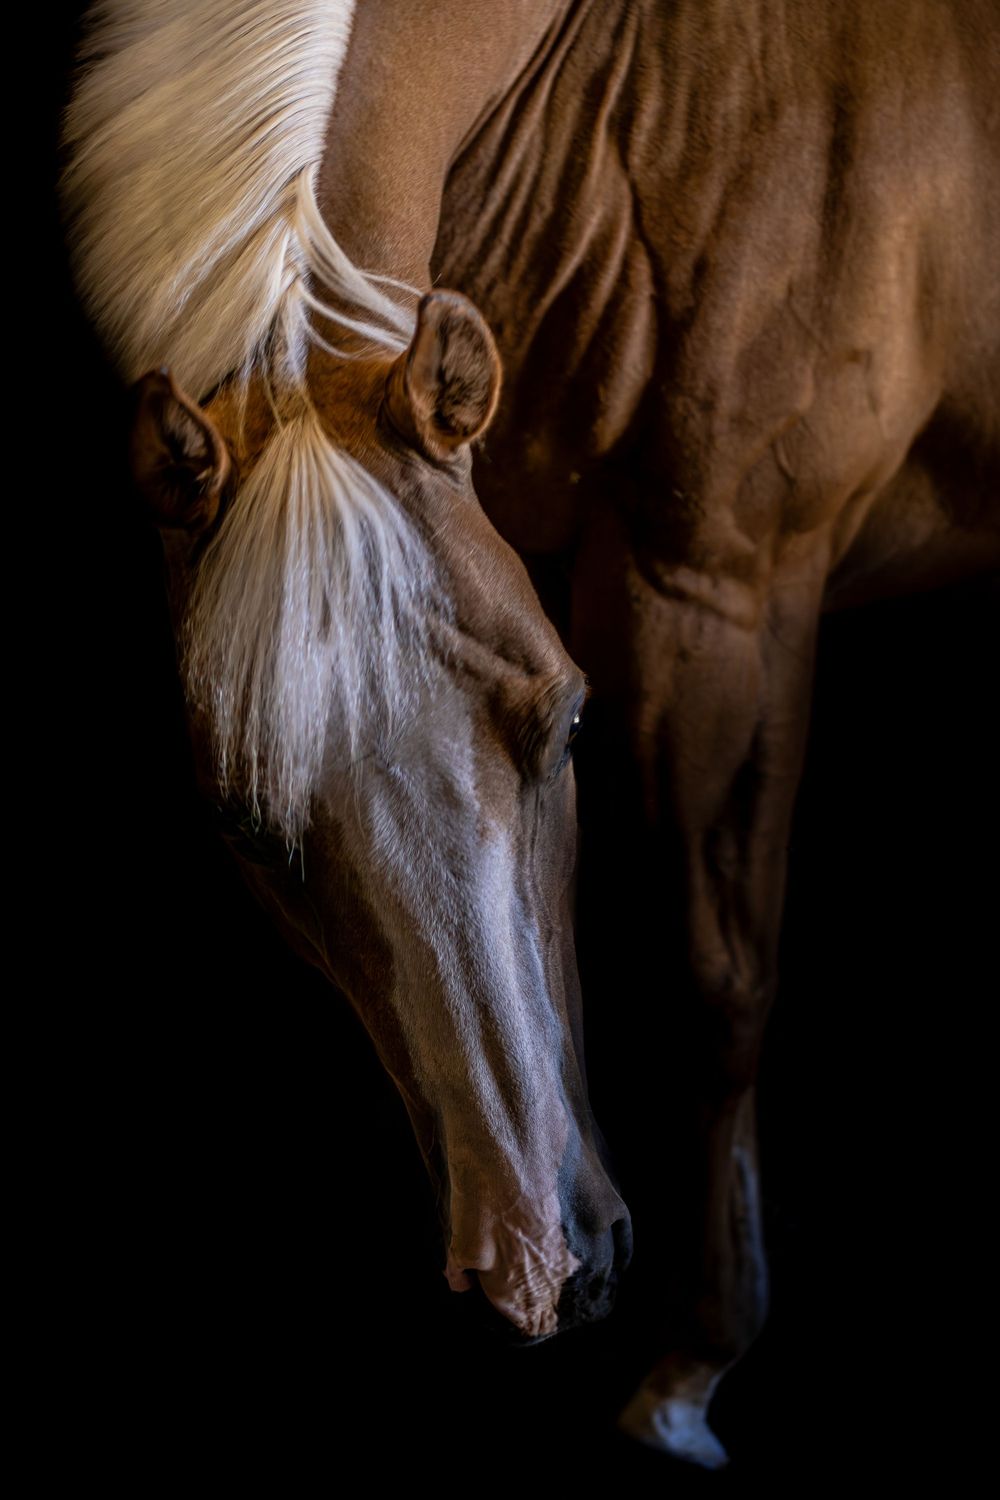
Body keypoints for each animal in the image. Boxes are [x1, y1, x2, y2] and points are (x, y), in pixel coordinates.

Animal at [61, 0, 999, 1469]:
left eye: (563, 724)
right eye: (245, 825)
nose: (537, 1271)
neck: (646, 90)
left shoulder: (720, 591)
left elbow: (716, 975)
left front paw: (691, 1367)